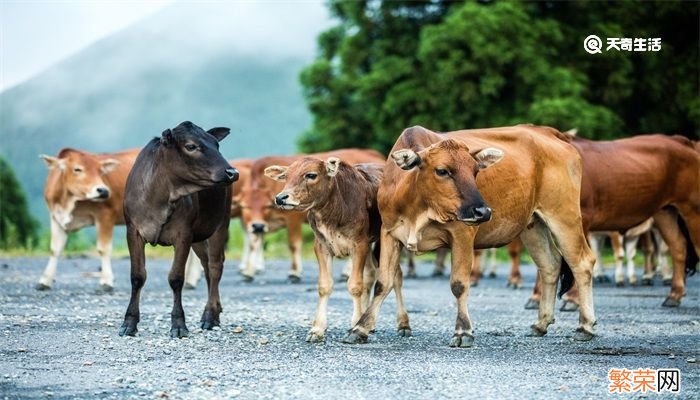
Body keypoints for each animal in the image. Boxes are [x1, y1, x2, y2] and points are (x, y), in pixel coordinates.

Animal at [37, 147, 141, 290]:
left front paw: (106, 281)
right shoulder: (56, 217)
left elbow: (103, 249)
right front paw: (45, 280)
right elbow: (55, 249)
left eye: (100, 171)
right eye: (77, 169)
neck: (68, 201)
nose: (103, 191)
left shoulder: (106, 215)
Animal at [239, 149, 382, 282]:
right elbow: (254, 243)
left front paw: (294, 273)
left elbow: (293, 244)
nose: (280, 198)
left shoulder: (293, 219)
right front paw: (249, 272)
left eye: (266, 206)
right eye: (245, 206)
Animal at [266, 156, 386, 340]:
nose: (281, 198)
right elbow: (324, 286)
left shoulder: (359, 244)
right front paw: (317, 329)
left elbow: (355, 285)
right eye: (286, 176)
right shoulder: (322, 246)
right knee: (371, 274)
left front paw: (355, 324)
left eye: (311, 175)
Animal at [344, 125, 596, 346]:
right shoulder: (389, 234)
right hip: (533, 225)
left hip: (564, 215)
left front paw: (463, 331)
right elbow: (382, 283)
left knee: (582, 262)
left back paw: (585, 326)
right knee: (550, 264)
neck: (418, 204)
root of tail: (552, 133)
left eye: (476, 171)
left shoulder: (462, 233)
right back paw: (541, 323)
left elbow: (459, 284)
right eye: (442, 171)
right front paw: (360, 328)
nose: (482, 211)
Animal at [528, 134, 696, 310]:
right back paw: (674, 294)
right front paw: (536, 297)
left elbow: (576, 258)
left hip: (692, 207)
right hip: (665, 212)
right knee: (678, 245)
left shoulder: (581, 218)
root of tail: (683, 141)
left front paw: (572, 299)